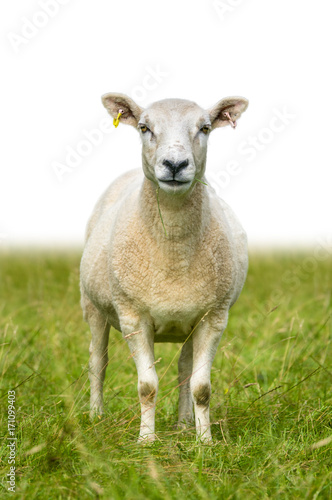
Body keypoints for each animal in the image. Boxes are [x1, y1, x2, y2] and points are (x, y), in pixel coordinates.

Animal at [80, 93, 246, 442]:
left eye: (205, 128)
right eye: (144, 127)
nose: (174, 165)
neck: (173, 253)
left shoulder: (214, 318)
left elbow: (201, 387)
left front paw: (204, 441)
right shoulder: (133, 316)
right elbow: (147, 386)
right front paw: (146, 441)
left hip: (189, 321)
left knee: (184, 368)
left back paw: (183, 424)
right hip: (92, 305)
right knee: (97, 360)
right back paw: (95, 415)